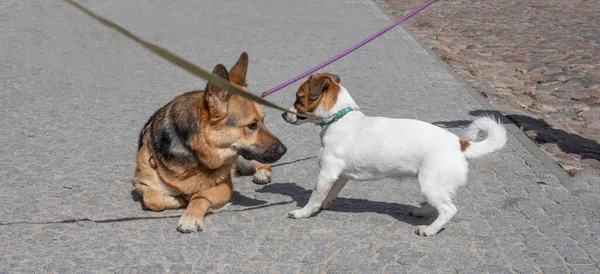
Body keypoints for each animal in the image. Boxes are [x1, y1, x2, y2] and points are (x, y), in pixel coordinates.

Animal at [136, 53, 286, 233]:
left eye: (264, 120)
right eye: (252, 125)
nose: (284, 149)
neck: (195, 155)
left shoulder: (224, 186)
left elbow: (200, 196)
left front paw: (190, 217)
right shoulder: (141, 182)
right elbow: (151, 199)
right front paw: (174, 201)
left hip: (244, 159)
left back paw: (263, 173)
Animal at [282, 73, 506, 235]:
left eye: (299, 98)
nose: (283, 114)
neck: (339, 118)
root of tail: (460, 143)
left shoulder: (326, 174)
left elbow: (315, 197)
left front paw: (303, 212)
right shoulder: (339, 176)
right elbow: (330, 194)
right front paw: (325, 205)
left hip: (429, 185)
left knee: (449, 209)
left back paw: (430, 230)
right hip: (435, 187)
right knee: (442, 204)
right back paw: (421, 211)